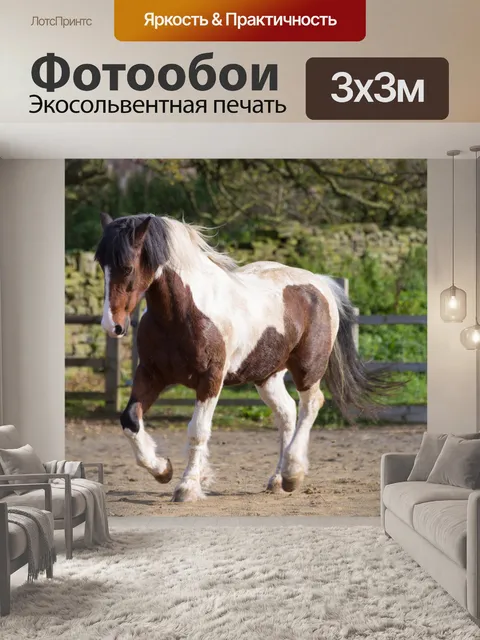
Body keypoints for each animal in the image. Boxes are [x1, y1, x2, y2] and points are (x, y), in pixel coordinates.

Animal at [95, 212, 392, 502]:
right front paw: (163, 469)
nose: (112, 326)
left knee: (311, 405)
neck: (184, 313)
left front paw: (188, 486)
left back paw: (292, 473)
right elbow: (130, 421)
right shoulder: (151, 374)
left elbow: (197, 430)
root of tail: (321, 283)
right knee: (287, 411)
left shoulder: (211, 379)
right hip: (268, 375)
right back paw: (277, 479)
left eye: (127, 267)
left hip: (308, 368)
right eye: (102, 266)